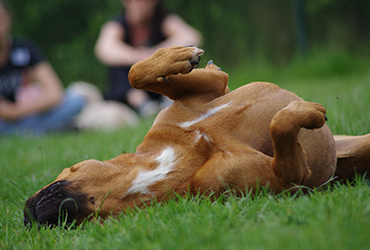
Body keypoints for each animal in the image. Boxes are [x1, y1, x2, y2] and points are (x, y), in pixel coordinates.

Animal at [23, 45, 370, 227]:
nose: (28, 218)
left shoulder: (214, 87)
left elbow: (136, 74)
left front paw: (177, 57)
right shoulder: (289, 178)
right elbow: (280, 126)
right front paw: (304, 112)